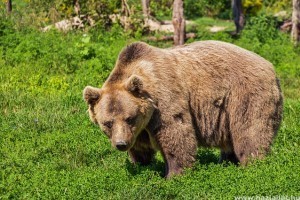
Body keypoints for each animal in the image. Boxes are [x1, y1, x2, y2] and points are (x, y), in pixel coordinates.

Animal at [83, 40, 282, 178]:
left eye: (129, 118)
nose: (121, 144)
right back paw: (226, 161)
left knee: (250, 131)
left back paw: (252, 164)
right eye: (107, 123)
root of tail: (271, 67)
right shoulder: (139, 128)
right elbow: (140, 147)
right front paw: (140, 165)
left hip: (245, 95)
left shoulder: (163, 100)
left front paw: (174, 174)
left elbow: (176, 134)